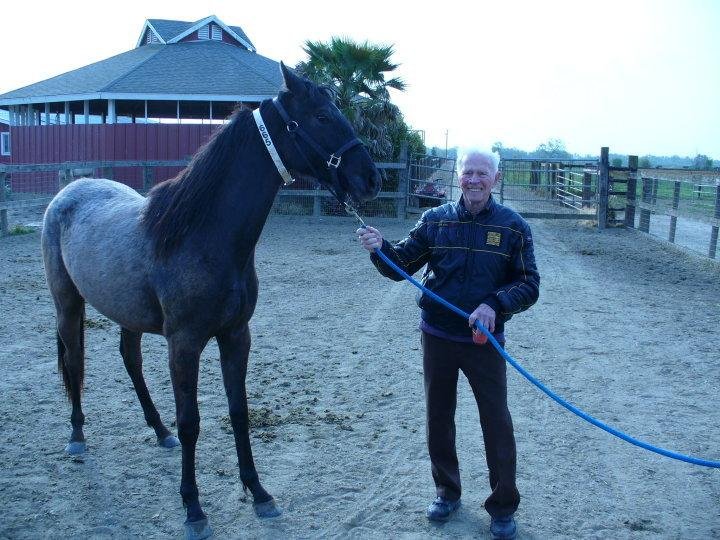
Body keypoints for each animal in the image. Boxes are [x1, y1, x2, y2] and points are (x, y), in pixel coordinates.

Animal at [41, 62, 381, 539]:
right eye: (321, 117)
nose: (371, 178)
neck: (203, 237)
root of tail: (68, 193)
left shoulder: (236, 336)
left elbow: (239, 411)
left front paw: (259, 493)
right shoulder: (184, 344)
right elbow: (192, 423)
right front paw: (193, 508)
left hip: (127, 314)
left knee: (130, 359)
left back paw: (157, 429)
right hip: (68, 304)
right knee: (74, 361)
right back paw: (77, 438)